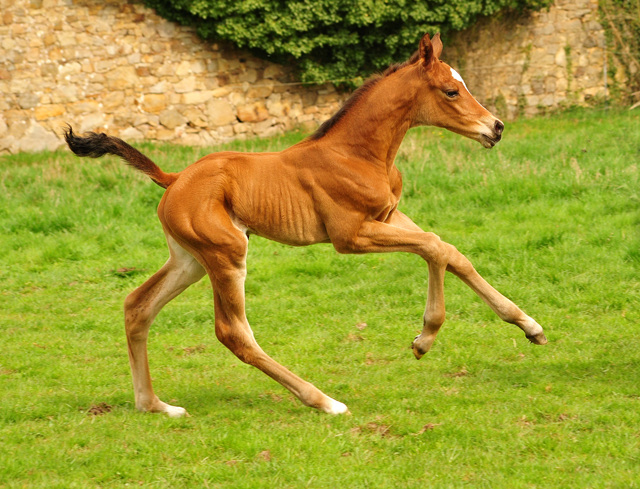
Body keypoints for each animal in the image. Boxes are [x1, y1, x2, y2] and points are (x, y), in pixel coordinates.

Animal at [63, 33, 544, 416]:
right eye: (450, 91)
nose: (496, 127)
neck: (358, 153)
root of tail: (174, 177)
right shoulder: (350, 235)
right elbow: (433, 247)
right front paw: (425, 337)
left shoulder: (389, 216)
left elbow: (449, 251)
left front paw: (529, 326)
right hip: (226, 254)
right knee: (233, 332)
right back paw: (323, 401)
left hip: (190, 259)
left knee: (137, 306)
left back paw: (155, 406)